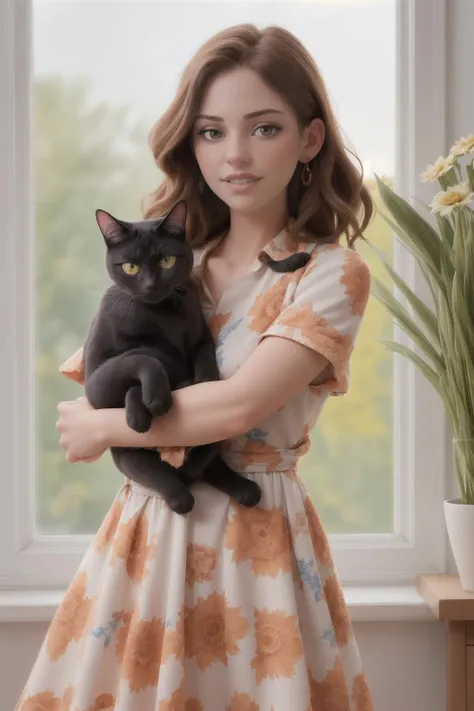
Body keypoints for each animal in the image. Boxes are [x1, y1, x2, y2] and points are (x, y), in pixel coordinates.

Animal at [83, 203, 310, 516]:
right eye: (131, 267)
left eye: (167, 261)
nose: (150, 285)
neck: (165, 315)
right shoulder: (95, 382)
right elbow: (146, 356)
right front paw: (155, 399)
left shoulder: (200, 334)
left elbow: (203, 356)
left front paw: (199, 381)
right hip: (126, 450)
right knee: (161, 476)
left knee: (205, 464)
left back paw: (244, 489)